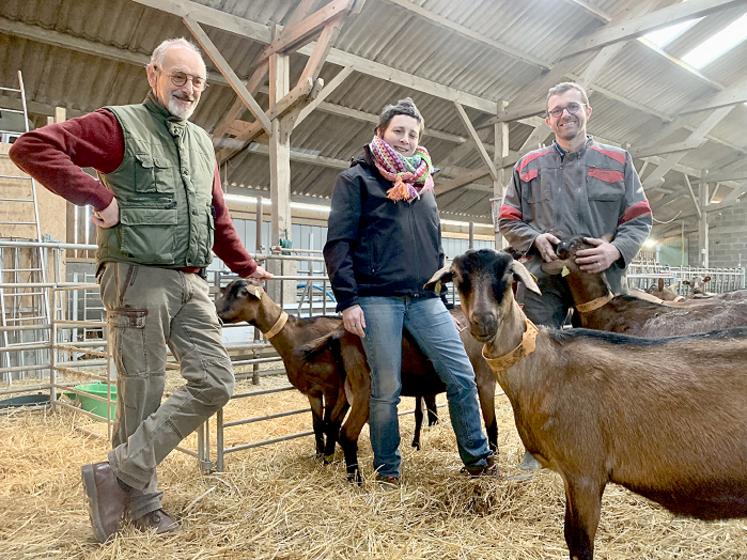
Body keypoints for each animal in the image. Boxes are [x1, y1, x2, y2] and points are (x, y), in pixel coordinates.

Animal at [426, 249, 747, 560]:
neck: (544, 365)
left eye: (508, 276)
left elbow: (579, 543)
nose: (484, 321)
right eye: (457, 277)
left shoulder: (585, 473)